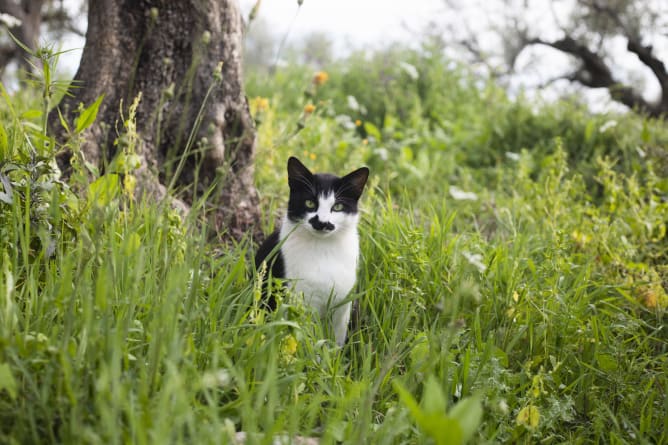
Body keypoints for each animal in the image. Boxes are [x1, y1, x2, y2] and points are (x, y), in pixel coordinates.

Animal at [256, 156, 370, 346]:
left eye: (337, 207)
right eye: (310, 203)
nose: (322, 222)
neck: (323, 249)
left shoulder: (343, 306)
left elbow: (336, 341)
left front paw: (335, 354)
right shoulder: (301, 301)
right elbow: (306, 338)